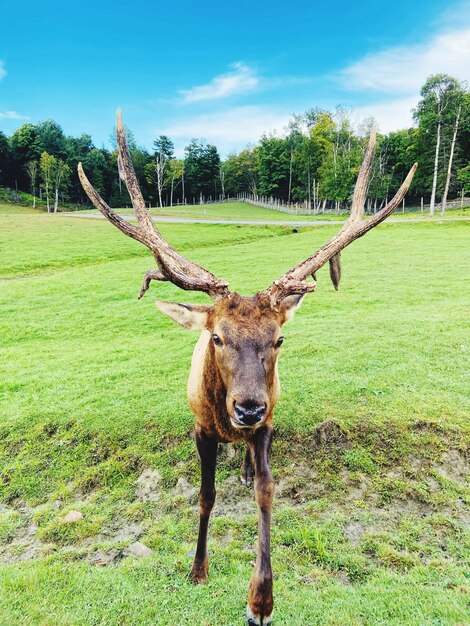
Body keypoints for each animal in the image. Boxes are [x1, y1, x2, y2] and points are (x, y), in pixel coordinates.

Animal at [79, 113, 416, 624]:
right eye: (217, 337)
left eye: (278, 339)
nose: (248, 408)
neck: (225, 420)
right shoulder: (200, 427)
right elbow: (205, 495)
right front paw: (198, 569)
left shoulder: (268, 425)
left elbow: (267, 491)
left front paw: (261, 600)